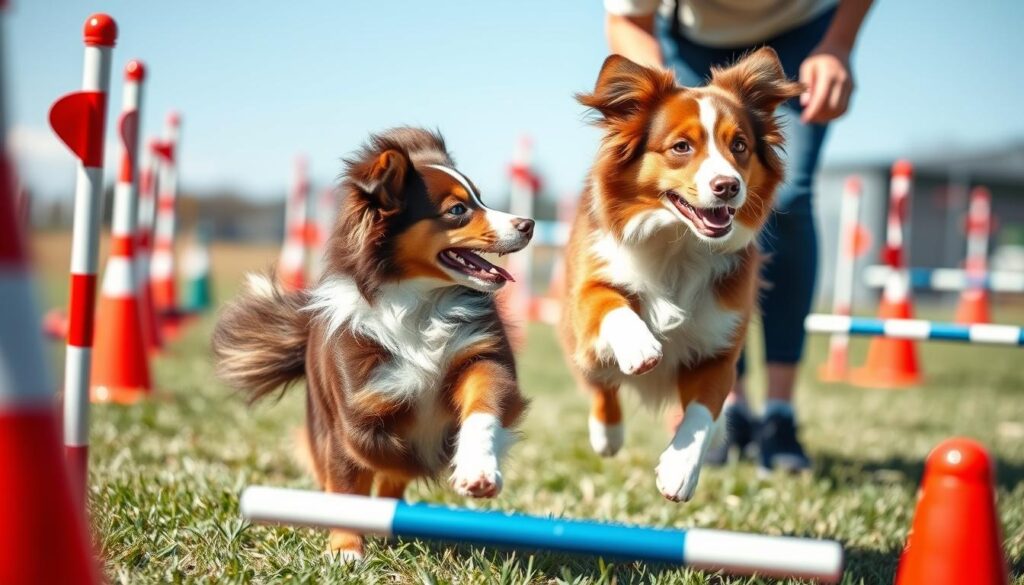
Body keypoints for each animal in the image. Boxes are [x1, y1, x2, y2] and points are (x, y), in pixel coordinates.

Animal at [216, 127, 536, 557]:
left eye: (481, 198)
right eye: (458, 210)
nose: (528, 224)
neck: (418, 303)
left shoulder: (480, 356)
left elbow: (484, 404)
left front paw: (477, 470)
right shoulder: (358, 408)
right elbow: (357, 470)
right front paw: (346, 549)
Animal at [565, 48, 802, 502]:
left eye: (739, 145)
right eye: (681, 147)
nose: (728, 186)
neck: (679, 244)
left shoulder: (718, 347)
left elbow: (703, 411)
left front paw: (680, 469)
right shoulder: (589, 289)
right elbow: (609, 302)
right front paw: (640, 345)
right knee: (599, 381)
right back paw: (608, 434)